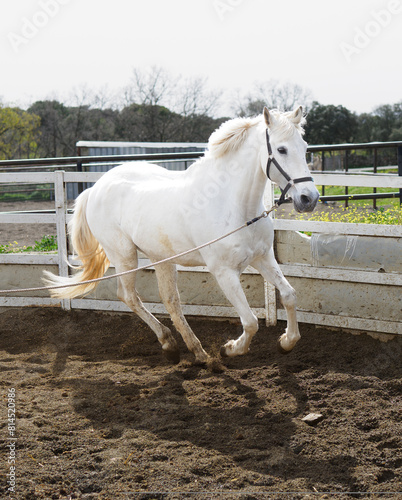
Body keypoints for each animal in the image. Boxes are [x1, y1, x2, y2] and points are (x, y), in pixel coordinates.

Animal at [45, 106, 318, 364]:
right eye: (281, 149)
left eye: (305, 147)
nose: (309, 198)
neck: (233, 205)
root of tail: (94, 188)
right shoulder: (224, 272)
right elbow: (251, 321)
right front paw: (229, 349)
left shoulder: (263, 258)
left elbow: (289, 295)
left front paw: (286, 342)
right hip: (124, 256)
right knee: (128, 296)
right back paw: (170, 344)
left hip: (161, 259)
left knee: (170, 300)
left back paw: (196, 352)